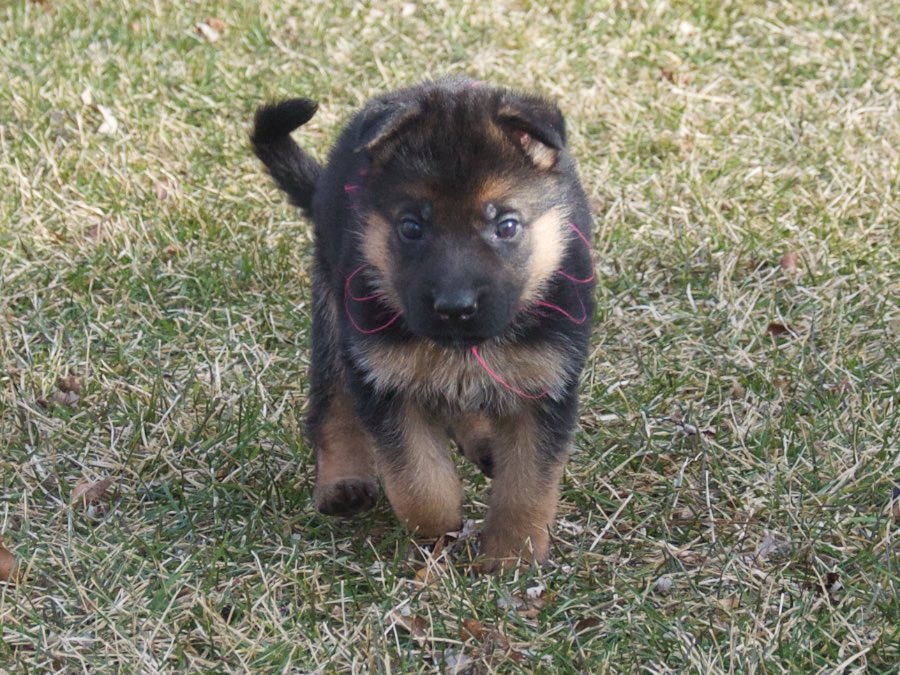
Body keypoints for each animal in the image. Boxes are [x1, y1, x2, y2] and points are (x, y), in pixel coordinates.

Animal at [250, 76, 596, 572]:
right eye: (412, 227)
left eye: (507, 225)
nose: (455, 307)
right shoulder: (384, 380)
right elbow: (420, 482)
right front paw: (440, 534)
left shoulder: (545, 384)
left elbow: (527, 484)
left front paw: (509, 557)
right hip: (335, 319)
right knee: (331, 403)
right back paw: (343, 479)